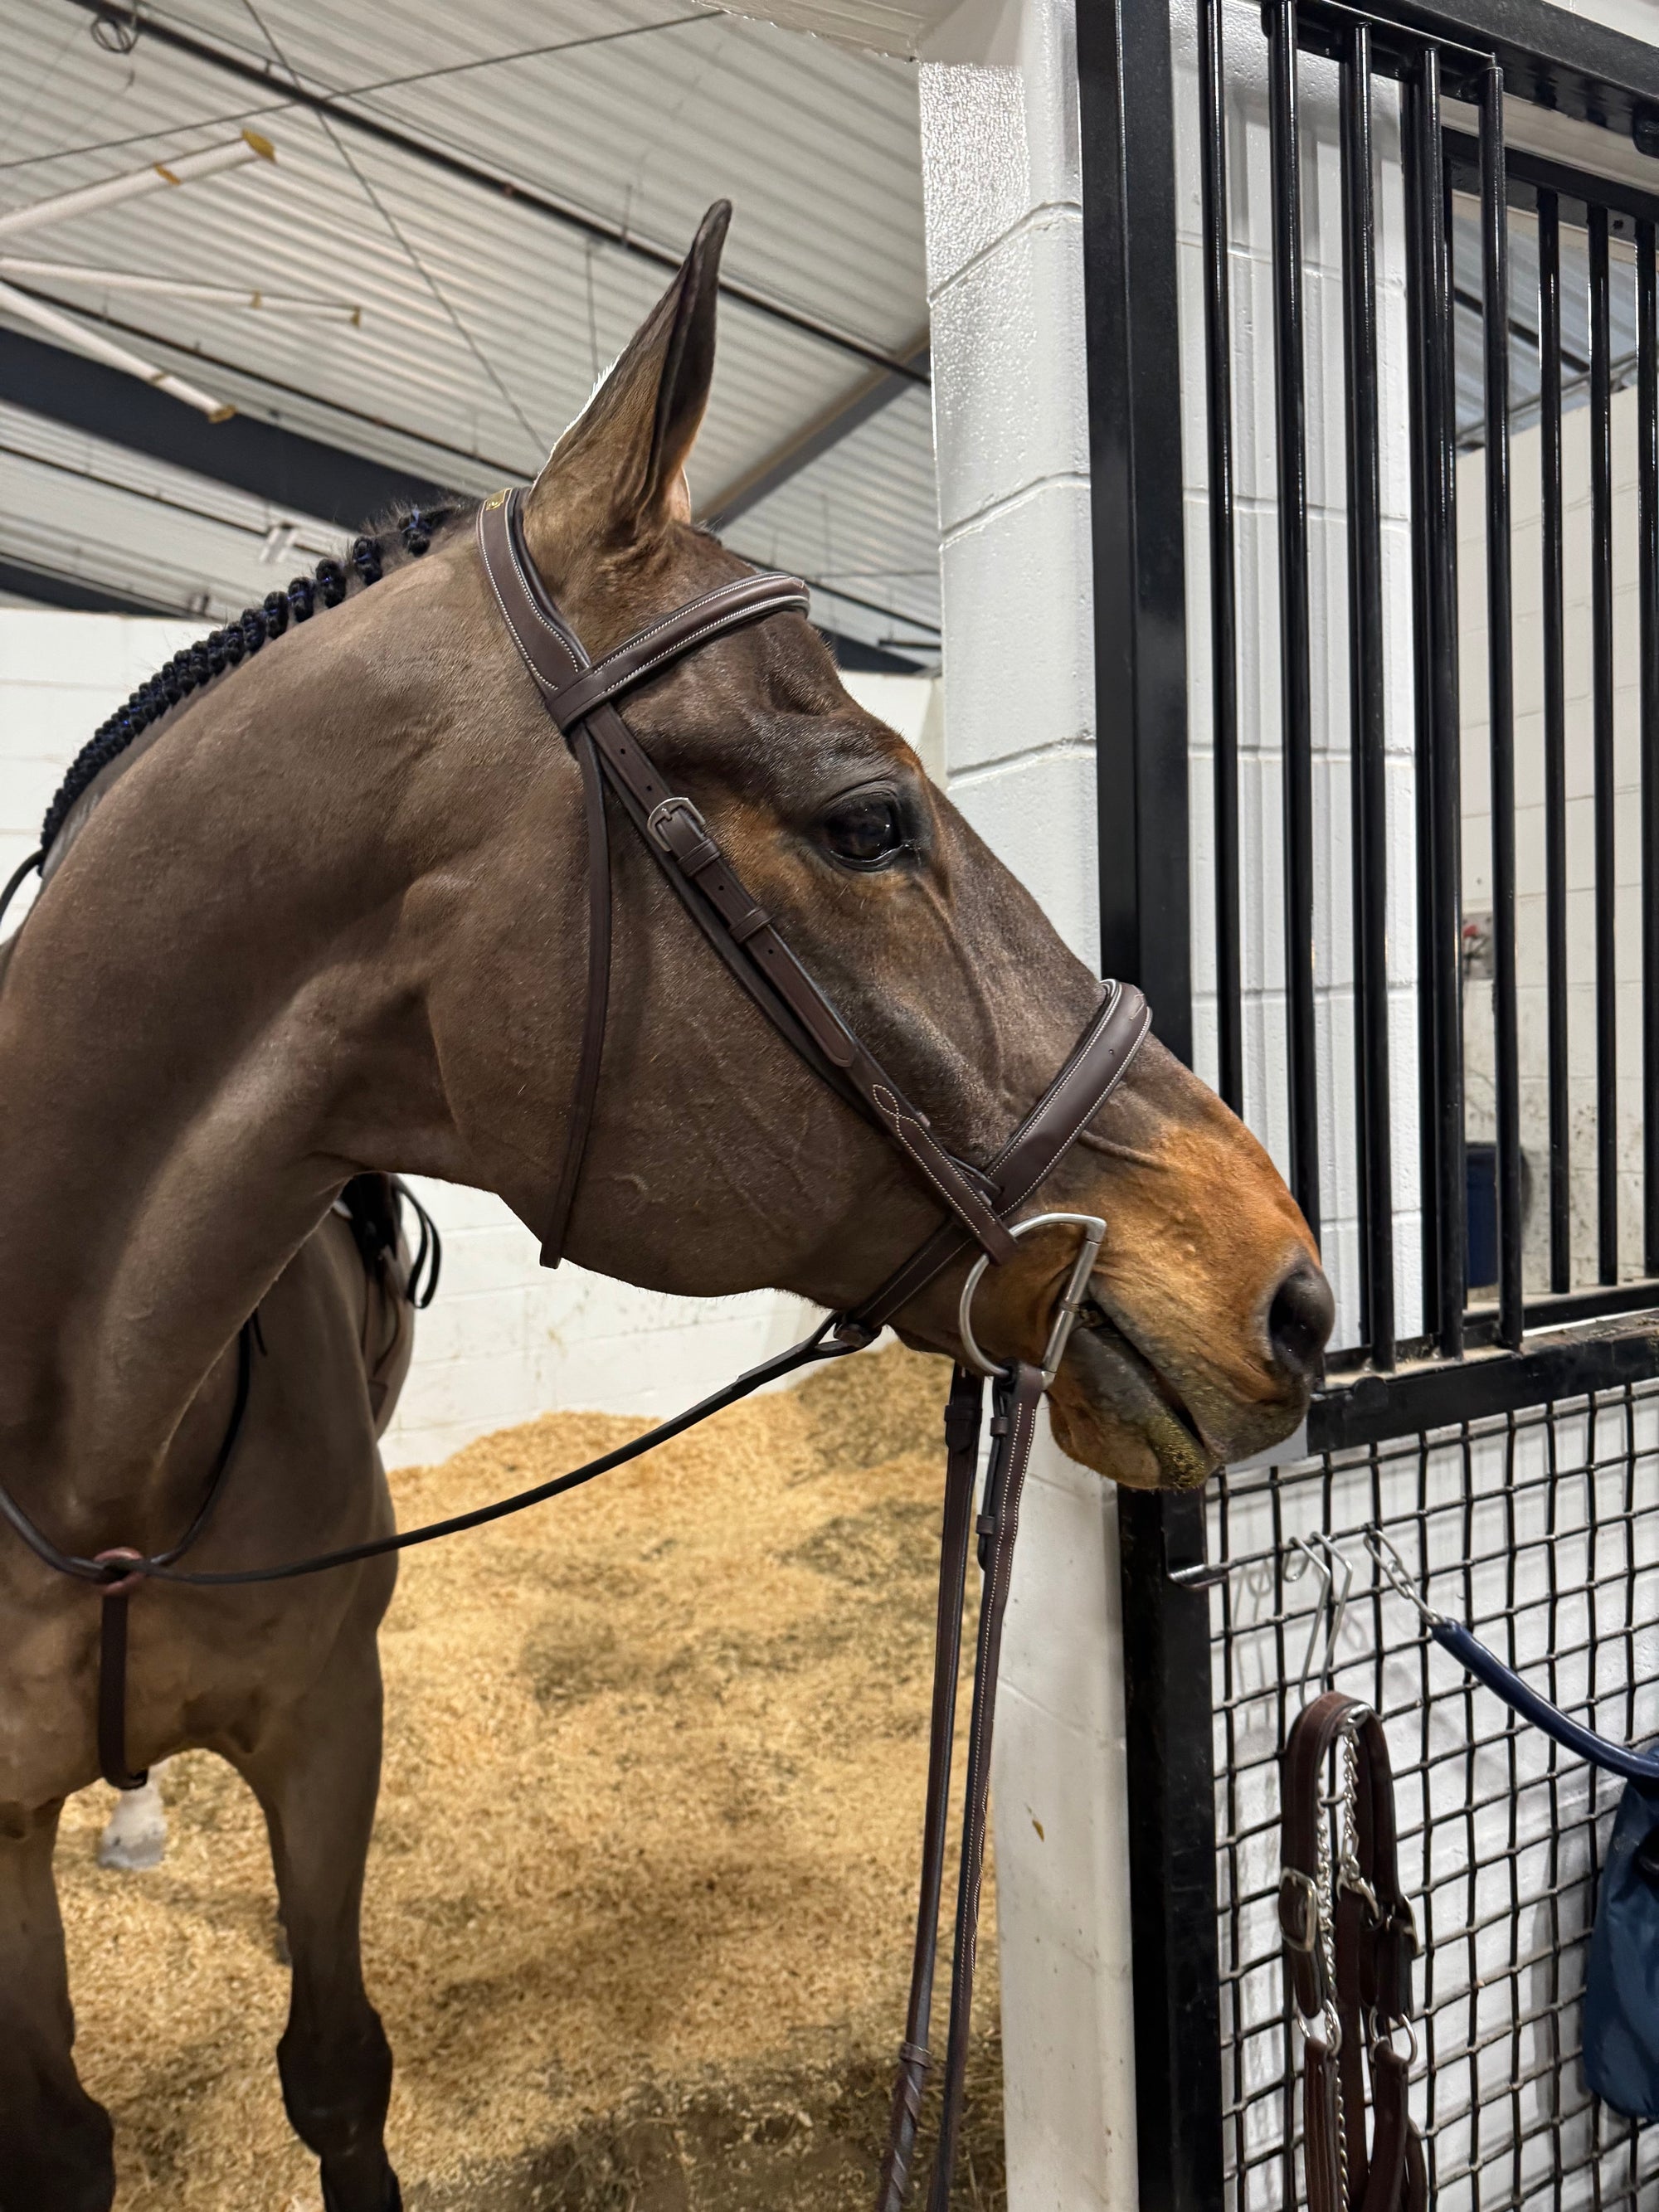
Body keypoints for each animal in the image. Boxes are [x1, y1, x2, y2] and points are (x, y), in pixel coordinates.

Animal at [0, 202, 1330, 2211]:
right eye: (869, 822)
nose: (1289, 1288)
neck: (88, 1444)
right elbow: (66, 2131)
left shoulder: (327, 1732)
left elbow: (337, 2070)